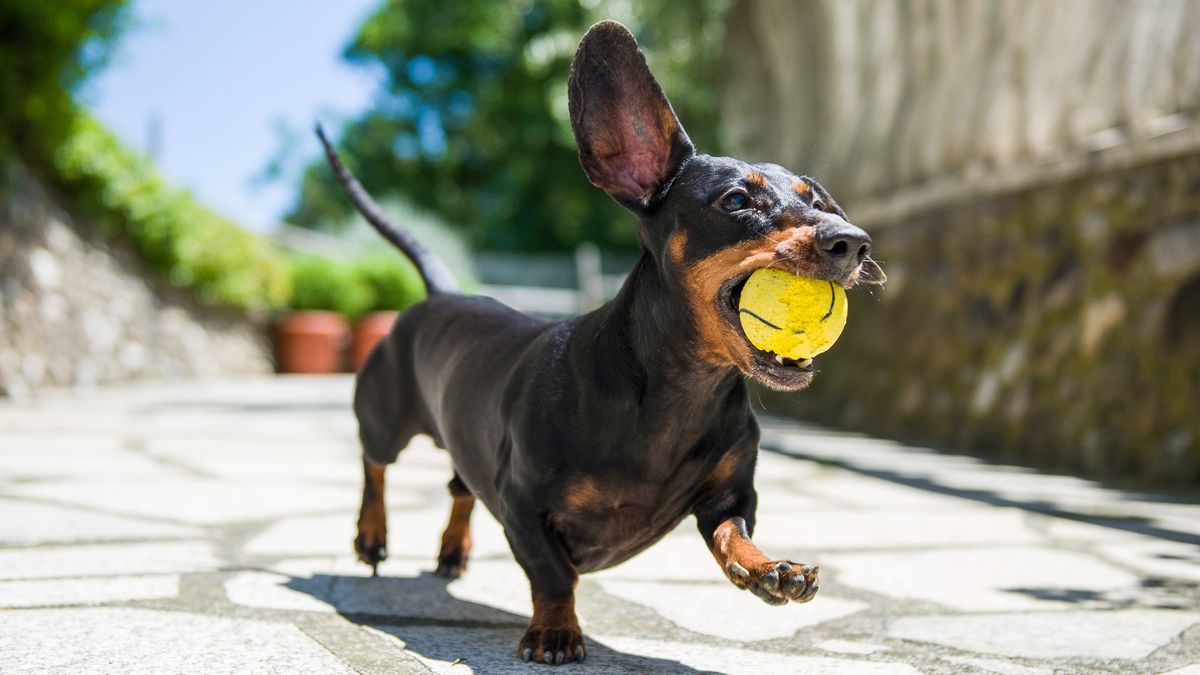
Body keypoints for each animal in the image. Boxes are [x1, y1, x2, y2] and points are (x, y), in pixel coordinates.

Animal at [316, 18, 873, 662]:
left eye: (819, 200)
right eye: (736, 200)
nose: (854, 242)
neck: (679, 393)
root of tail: (441, 293)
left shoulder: (731, 495)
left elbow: (732, 534)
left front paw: (769, 571)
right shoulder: (523, 503)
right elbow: (555, 574)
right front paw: (555, 631)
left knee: (458, 486)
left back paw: (453, 550)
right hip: (385, 417)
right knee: (374, 464)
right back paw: (371, 535)